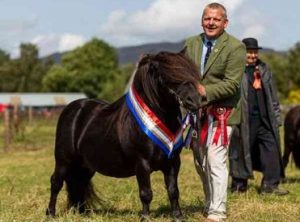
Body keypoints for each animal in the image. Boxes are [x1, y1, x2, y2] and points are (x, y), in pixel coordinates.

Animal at [46, 51, 202, 220]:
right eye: (167, 76)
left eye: (190, 72)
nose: (196, 100)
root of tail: (73, 108)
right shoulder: (142, 163)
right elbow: (146, 193)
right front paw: (145, 217)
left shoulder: (173, 162)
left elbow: (173, 191)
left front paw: (178, 216)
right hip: (63, 160)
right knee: (56, 183)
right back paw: (50, 213)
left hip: (86, 165)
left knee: (79, 184)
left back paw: (81, 213)